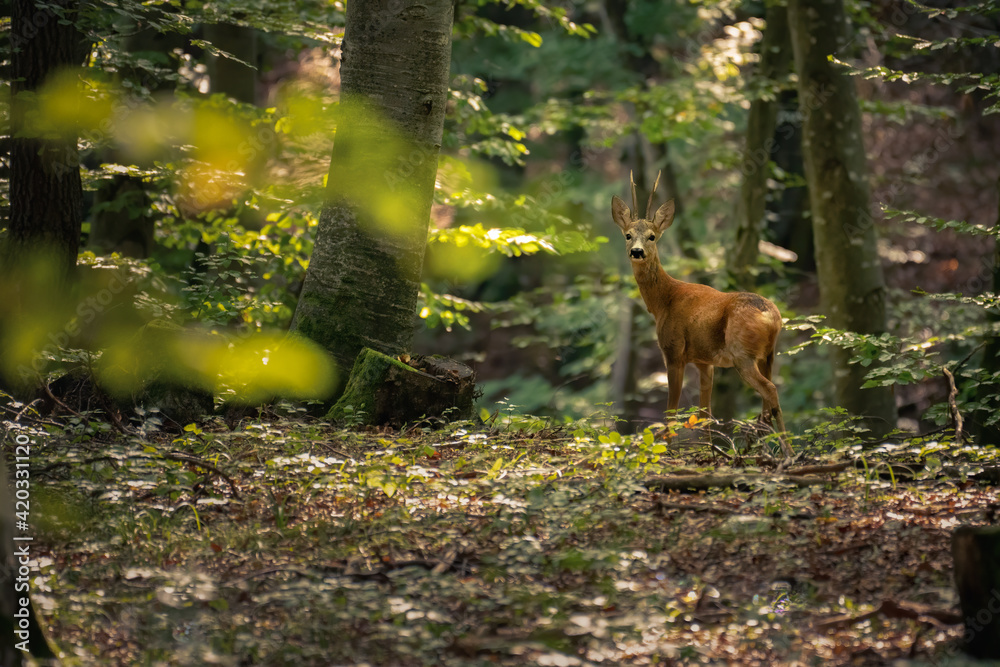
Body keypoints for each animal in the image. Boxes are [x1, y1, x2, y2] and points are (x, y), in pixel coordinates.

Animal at [611, 171, 793, 458]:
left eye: (652, 236)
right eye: (628, 235)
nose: (636, 252)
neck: (664, 301)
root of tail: (772, 317)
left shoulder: (673, 351)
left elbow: (671, 411)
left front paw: (669, 452)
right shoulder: (704, 360)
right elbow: (705, 412)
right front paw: (708, 453)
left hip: (743, 355)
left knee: (770, 390)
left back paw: (786, 451)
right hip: (769, 355)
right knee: (767, 400)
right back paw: (758, 448)